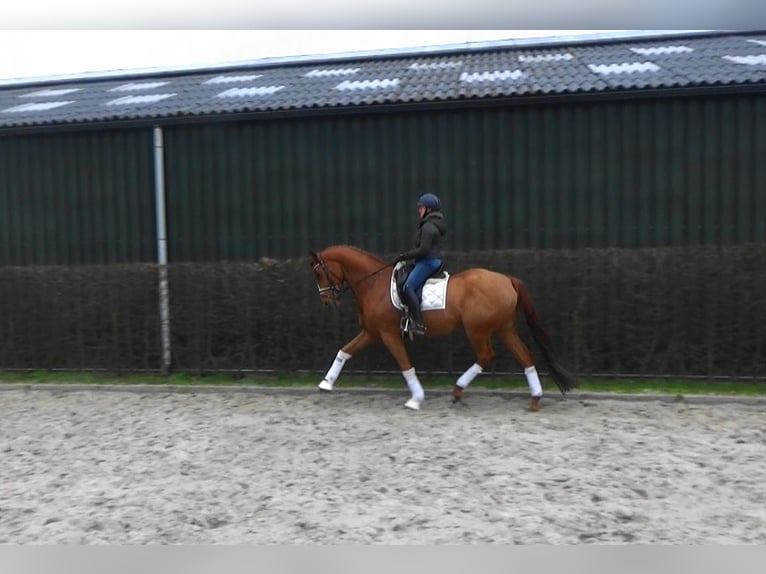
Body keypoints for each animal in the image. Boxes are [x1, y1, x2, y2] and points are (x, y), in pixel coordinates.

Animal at [312, 245, 576, 412]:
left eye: (319, 273)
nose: (326, 301)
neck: (373, 284)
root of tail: (507, 279)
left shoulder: (388, 334)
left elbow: (405, 365)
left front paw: (416, 399)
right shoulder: (371, 332)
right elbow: (345, 351)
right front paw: (326, 383)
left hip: (477, 330)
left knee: (486, 355)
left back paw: (458, 390)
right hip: (504, 329)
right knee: (525, 356)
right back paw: (535, 399)